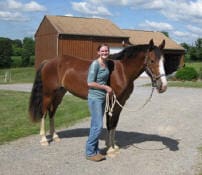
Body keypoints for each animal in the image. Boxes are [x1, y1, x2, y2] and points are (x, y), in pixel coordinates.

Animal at [28, 38, 167, 154]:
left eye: (164, 61)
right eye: (152, 60)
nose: (163, 86)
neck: (121, 71)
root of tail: (48, 61)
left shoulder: (120, 103)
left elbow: (114, 123)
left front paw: (113, 146)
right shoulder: (111, 101)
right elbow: (110, 123)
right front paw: (110, 149)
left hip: (59, 94)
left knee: (52, 113)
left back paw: (55, 137)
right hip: (48, 94)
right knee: (44, 113)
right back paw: (44, 140)